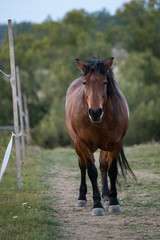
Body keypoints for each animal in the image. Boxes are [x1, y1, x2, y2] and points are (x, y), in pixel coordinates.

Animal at [64, 56, 135, 216]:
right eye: (85, 83)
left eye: (105, 82)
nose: (95, 112)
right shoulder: (83, 144)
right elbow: (91, 171)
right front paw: (97, 205)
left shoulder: (116, 144)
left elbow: (112, 171)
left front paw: (113, 202)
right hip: (77, 146)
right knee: (83, 166)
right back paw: (82, 198)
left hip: (104, 147)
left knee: (103, 167)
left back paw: (107, 197)